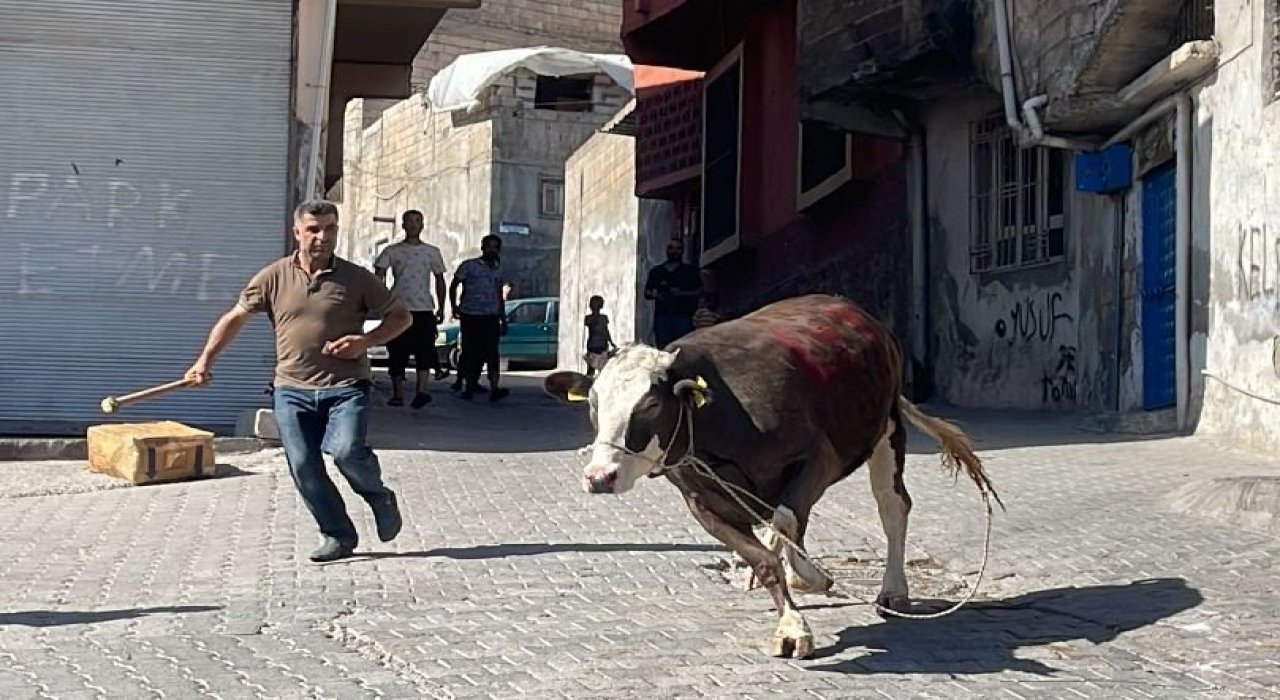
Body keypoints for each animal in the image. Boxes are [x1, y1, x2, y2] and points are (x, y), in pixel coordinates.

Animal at [542, 293, 998, 660]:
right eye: (594, 402)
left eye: (650, 405)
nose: (599, 476)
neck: (717, 424)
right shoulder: (700, 500)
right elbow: (763, 556)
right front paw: (791, 621)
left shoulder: (818, 458)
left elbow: (786, 522)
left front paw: (809, 581)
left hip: (886, 431)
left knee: (891, 508)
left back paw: (893, 589)